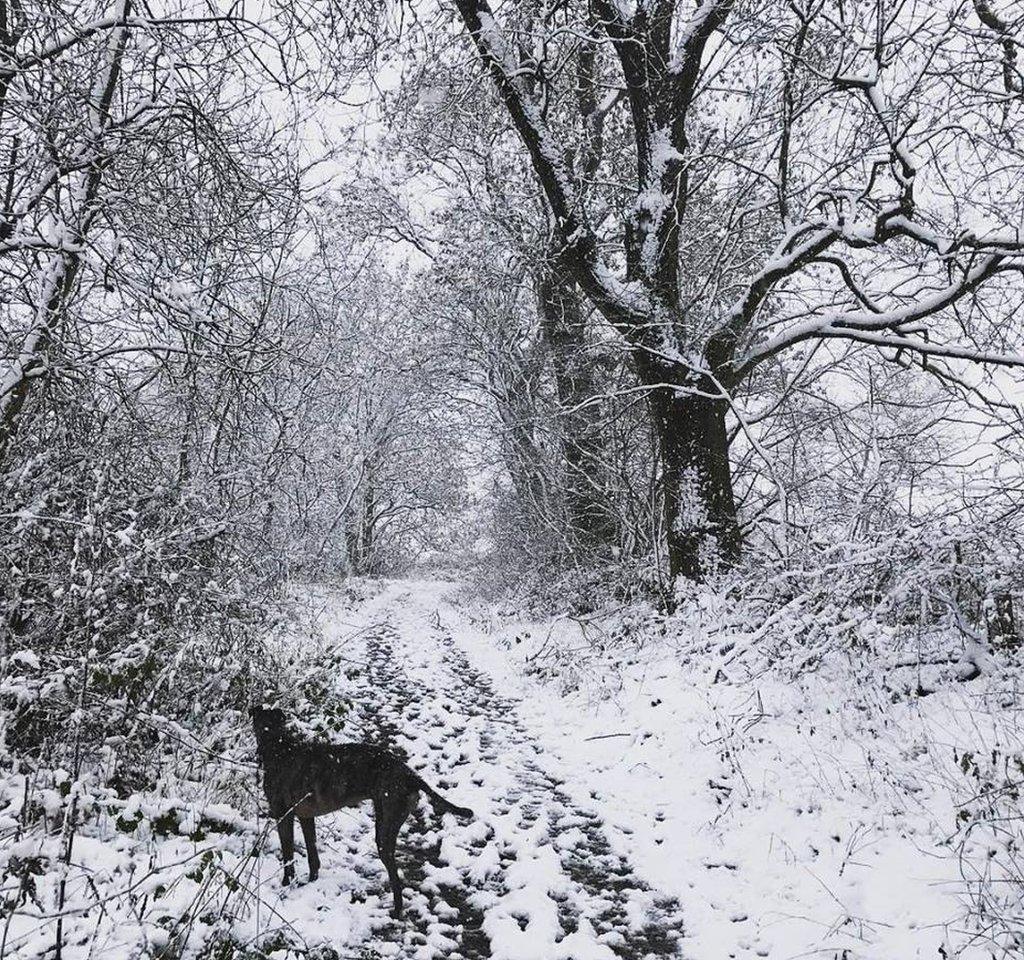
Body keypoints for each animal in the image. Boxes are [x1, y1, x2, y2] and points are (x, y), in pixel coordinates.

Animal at [249, 704, 473, 912]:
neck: (277, 746)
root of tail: (411, 775)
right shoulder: (306, 816)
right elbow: (312, 854)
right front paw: (310, 881)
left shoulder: (282, 815)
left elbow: (288, 855)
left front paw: (286, 883)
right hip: (383, 819)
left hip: (386, 830)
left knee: (395, 876)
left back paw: (396, 910)